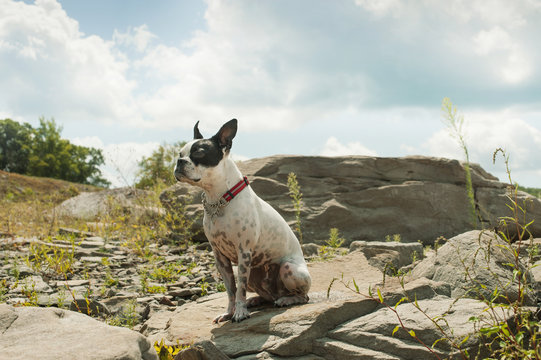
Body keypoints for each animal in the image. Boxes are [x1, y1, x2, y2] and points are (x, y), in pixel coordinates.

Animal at [175, 119, 310, 324]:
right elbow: (231, 290)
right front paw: (229, 312)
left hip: (289, 269)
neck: (219, 200)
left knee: (303, 296)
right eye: (180, 154)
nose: (179, 162)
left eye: (199, 153)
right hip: (255, 274)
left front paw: (239, 313)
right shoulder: (220, 258)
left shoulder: (243, 253)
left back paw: (286, 300)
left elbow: (240, 290)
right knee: (265, 295)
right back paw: (255, 300)